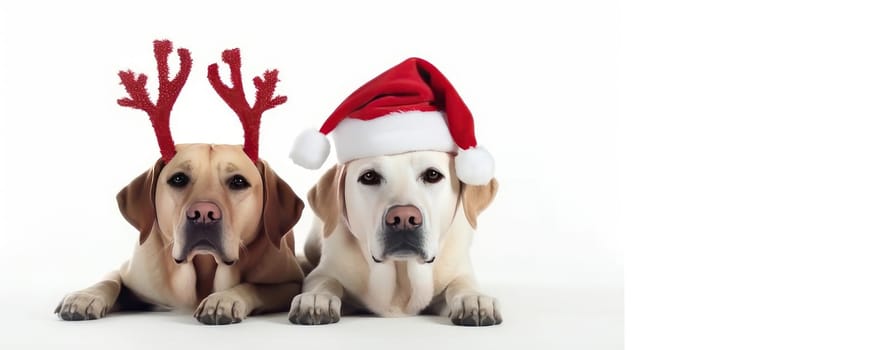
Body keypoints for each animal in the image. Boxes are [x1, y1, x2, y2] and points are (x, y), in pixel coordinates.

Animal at [57, 144, 306, 324]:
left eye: (238, 181)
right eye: (178, 179)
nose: (204, 213)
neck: (203, 268)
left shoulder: (290, 283)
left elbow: (254, 286)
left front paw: (224, 299)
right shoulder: (131, 274)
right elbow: (110, 280)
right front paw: (86, 296)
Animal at [290, 150, 502, 326]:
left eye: (432, 175)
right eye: (369, 176)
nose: (404, 219)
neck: (402, 275)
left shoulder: (459, 272)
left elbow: (461, 284)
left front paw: (473, 299)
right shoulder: (323, 272)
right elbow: (325, 281)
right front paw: (316, 298)